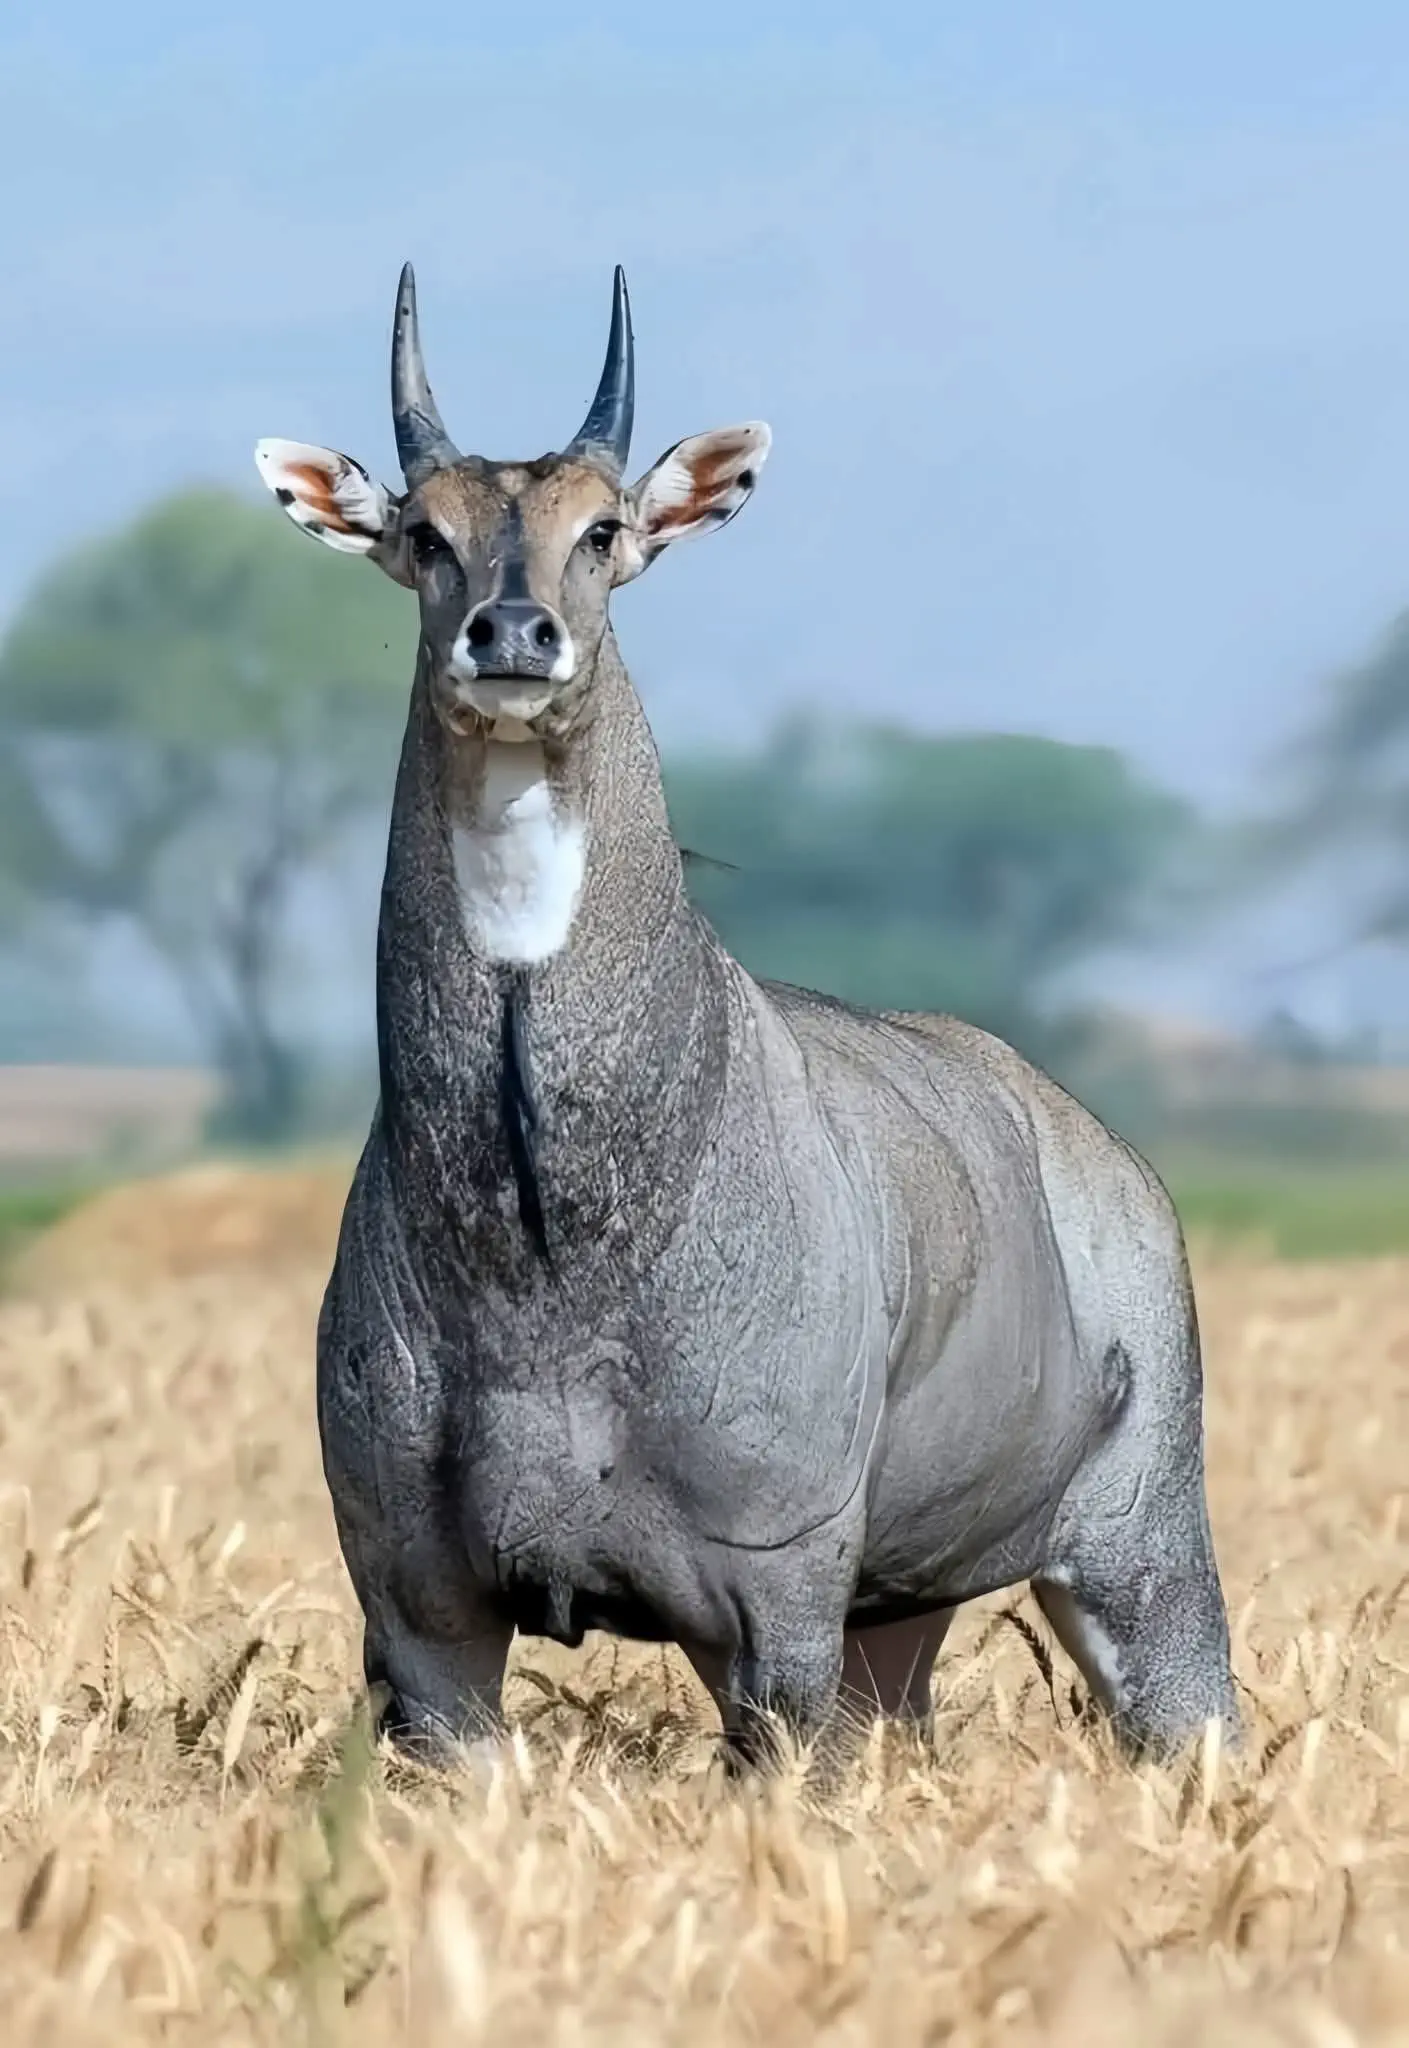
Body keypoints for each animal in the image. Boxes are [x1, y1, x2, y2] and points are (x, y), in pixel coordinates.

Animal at [255, 265, 1237, 1766]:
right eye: (426, 535)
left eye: (600, 529)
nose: (513, 636)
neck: (542, 1245)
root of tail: (1106, 1159)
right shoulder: (424, 1629)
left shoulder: (766, 1615)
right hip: (894, 1622)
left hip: (1141, 1564)